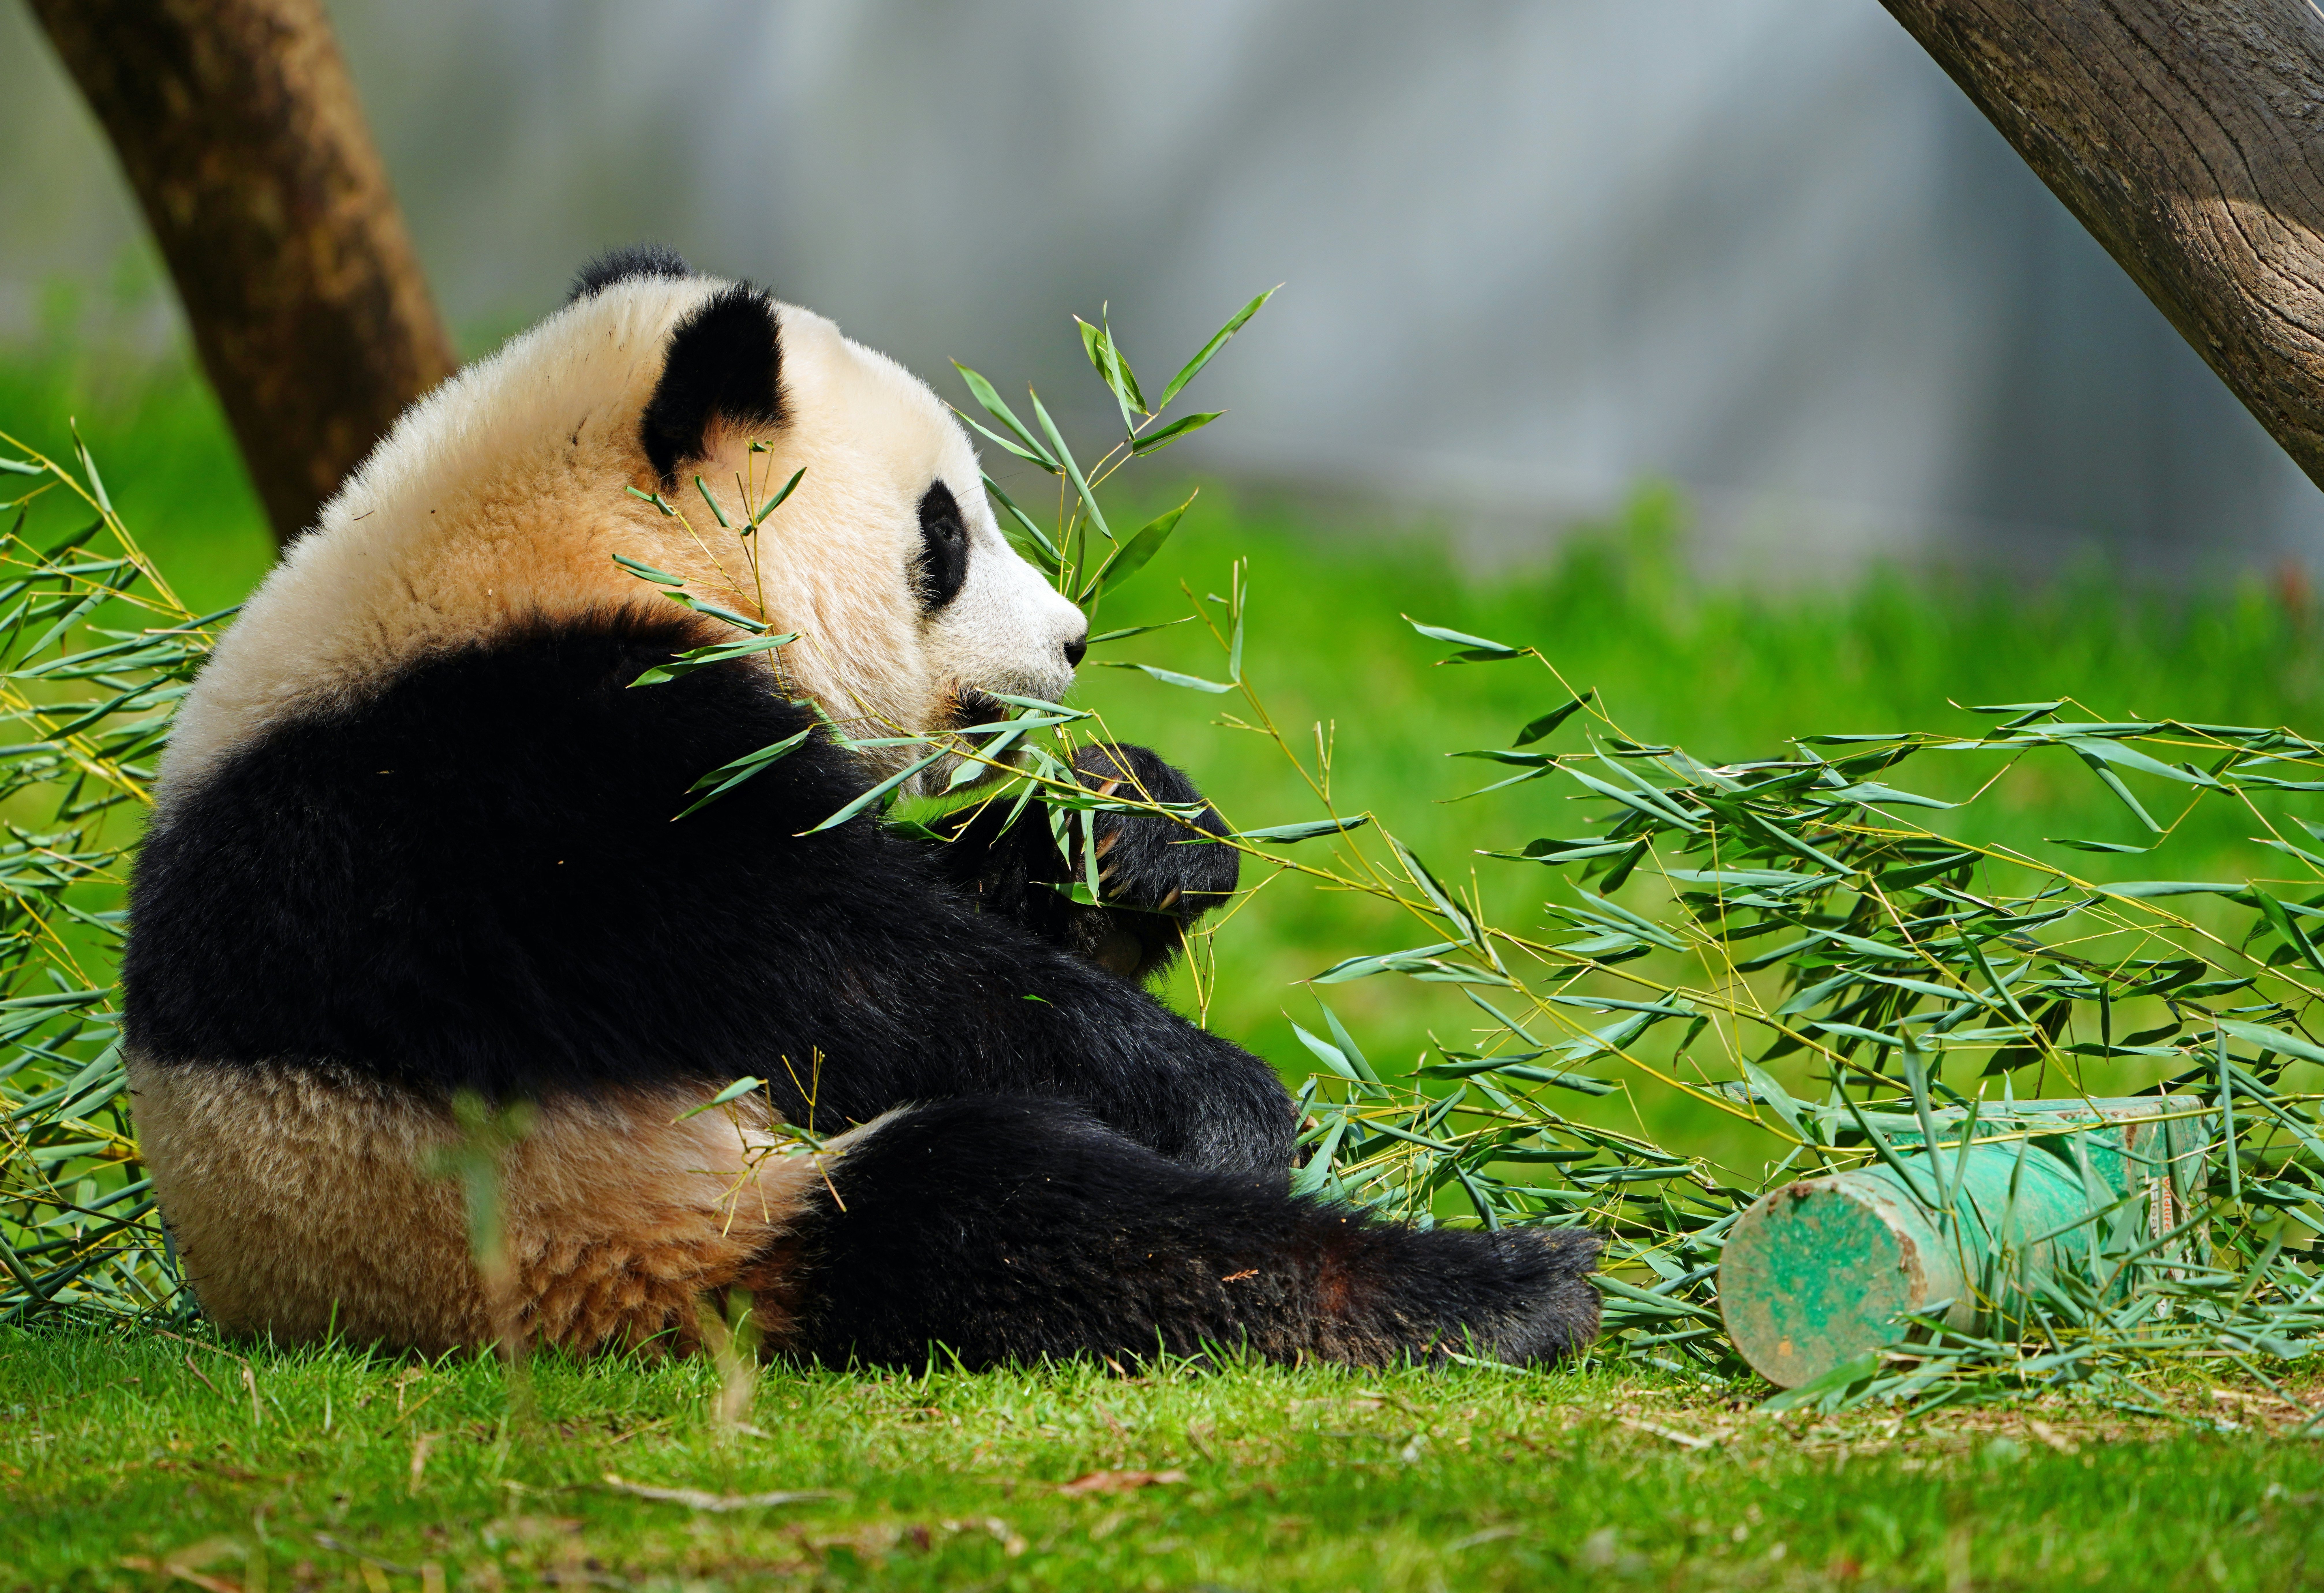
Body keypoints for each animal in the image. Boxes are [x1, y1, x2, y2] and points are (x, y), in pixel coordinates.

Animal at [120, 245, 1603, 1367]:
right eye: (943, 533)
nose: (1071, 641)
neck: (560, 544)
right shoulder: (511, 779)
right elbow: (845, 969)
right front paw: (1223, 1099)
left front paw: (1132, 825)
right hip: (631, 1219)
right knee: (1010, 1219)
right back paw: (1505, 1289)